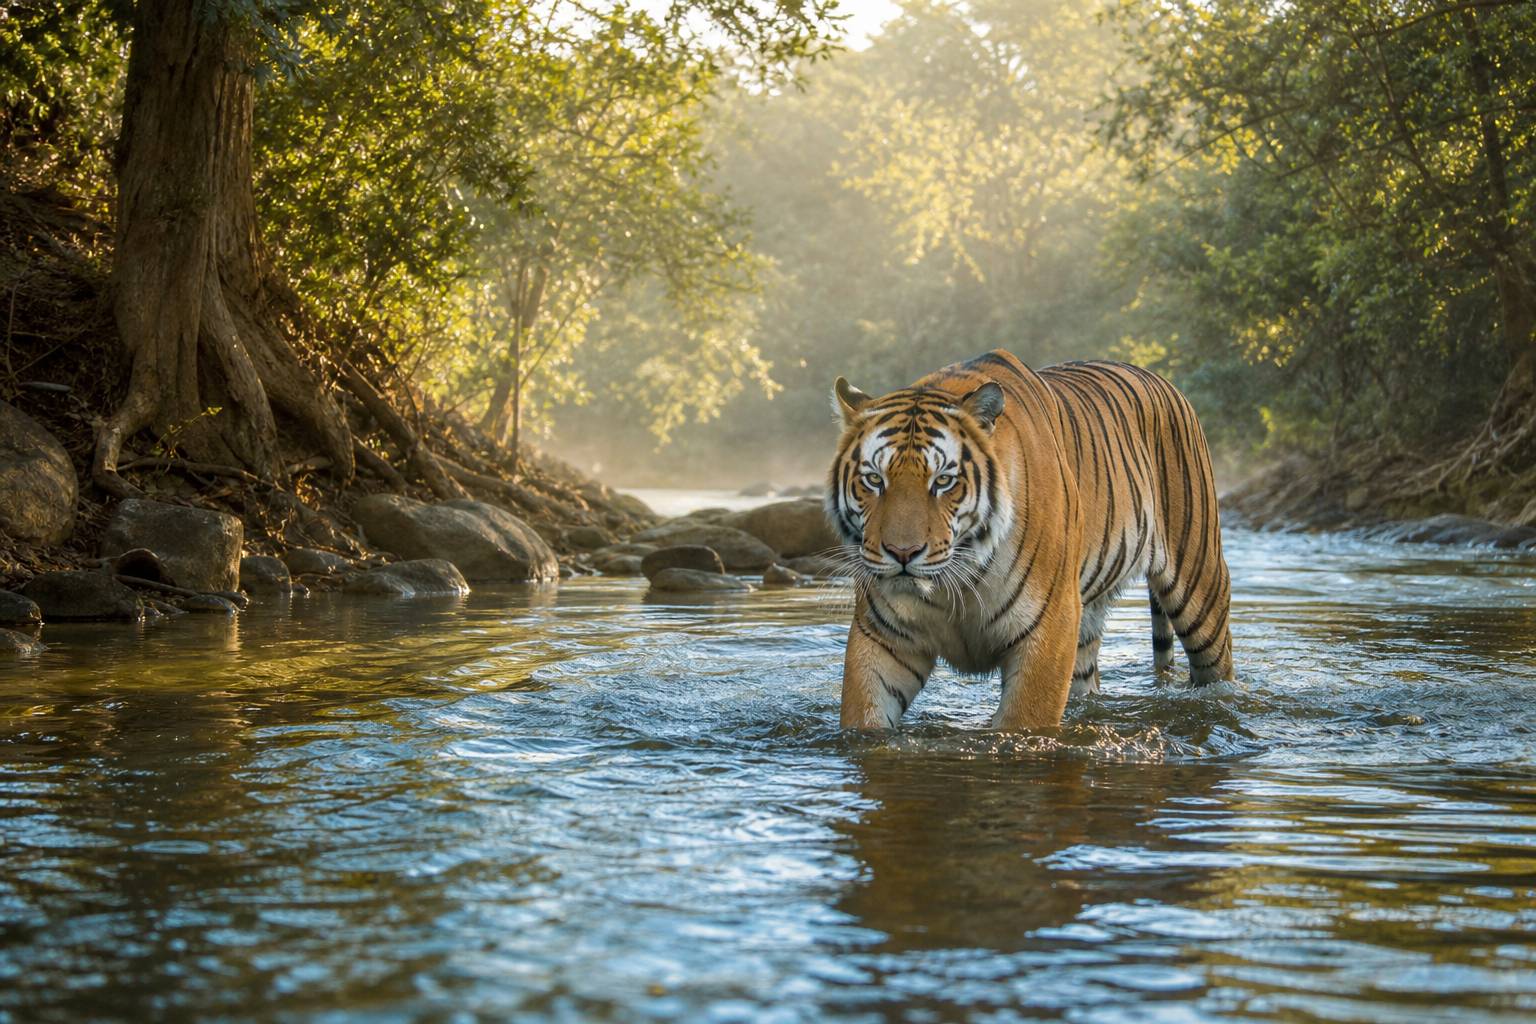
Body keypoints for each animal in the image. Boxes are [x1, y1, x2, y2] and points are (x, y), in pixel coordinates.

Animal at [825, 349, 1234, 731]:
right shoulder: (883, 637)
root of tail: (1160, 379)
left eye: (943, 481)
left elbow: (1024, 723)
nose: (902, 553)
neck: (960, 577)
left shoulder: (1049, 630)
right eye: (874, 480)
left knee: (1218, 665)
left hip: (1200, 584)